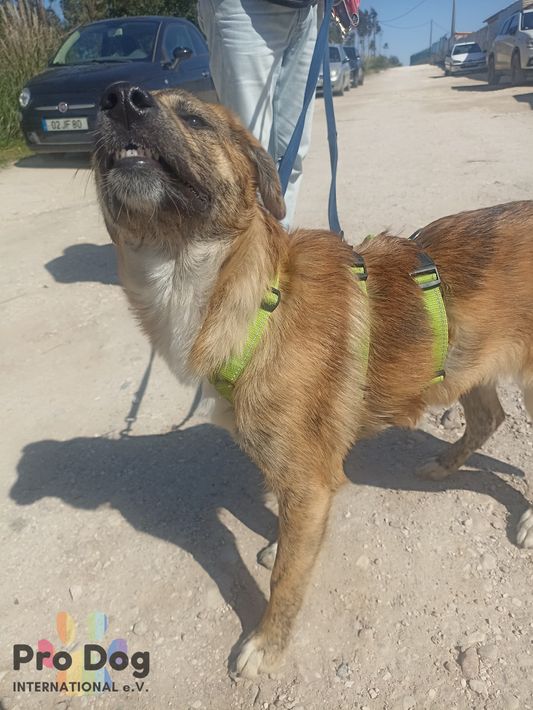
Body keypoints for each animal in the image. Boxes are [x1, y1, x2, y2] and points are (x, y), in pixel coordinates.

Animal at [93, 83, 533, 678]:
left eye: (194, 118)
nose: (120, 97)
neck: (254, 297)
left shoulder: (309, 484)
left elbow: (286, 579)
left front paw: (267, 642)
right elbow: (283, 536)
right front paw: (274, 546)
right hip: (468, 362)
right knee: (490, 417)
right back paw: (444, 464)